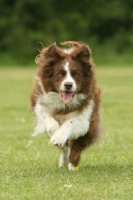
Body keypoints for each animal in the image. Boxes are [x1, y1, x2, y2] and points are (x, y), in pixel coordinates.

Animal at [29, 41, 102, 170]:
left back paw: (72, 165)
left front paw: (58, 137)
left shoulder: (85, 116)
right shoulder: (40, 104)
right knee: (66, 147)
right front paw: (55, 134)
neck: (63, 103)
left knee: (76, 146)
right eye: (60, 74)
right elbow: (49, 119)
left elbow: (70, 123)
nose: (68, 84)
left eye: (76, 74)